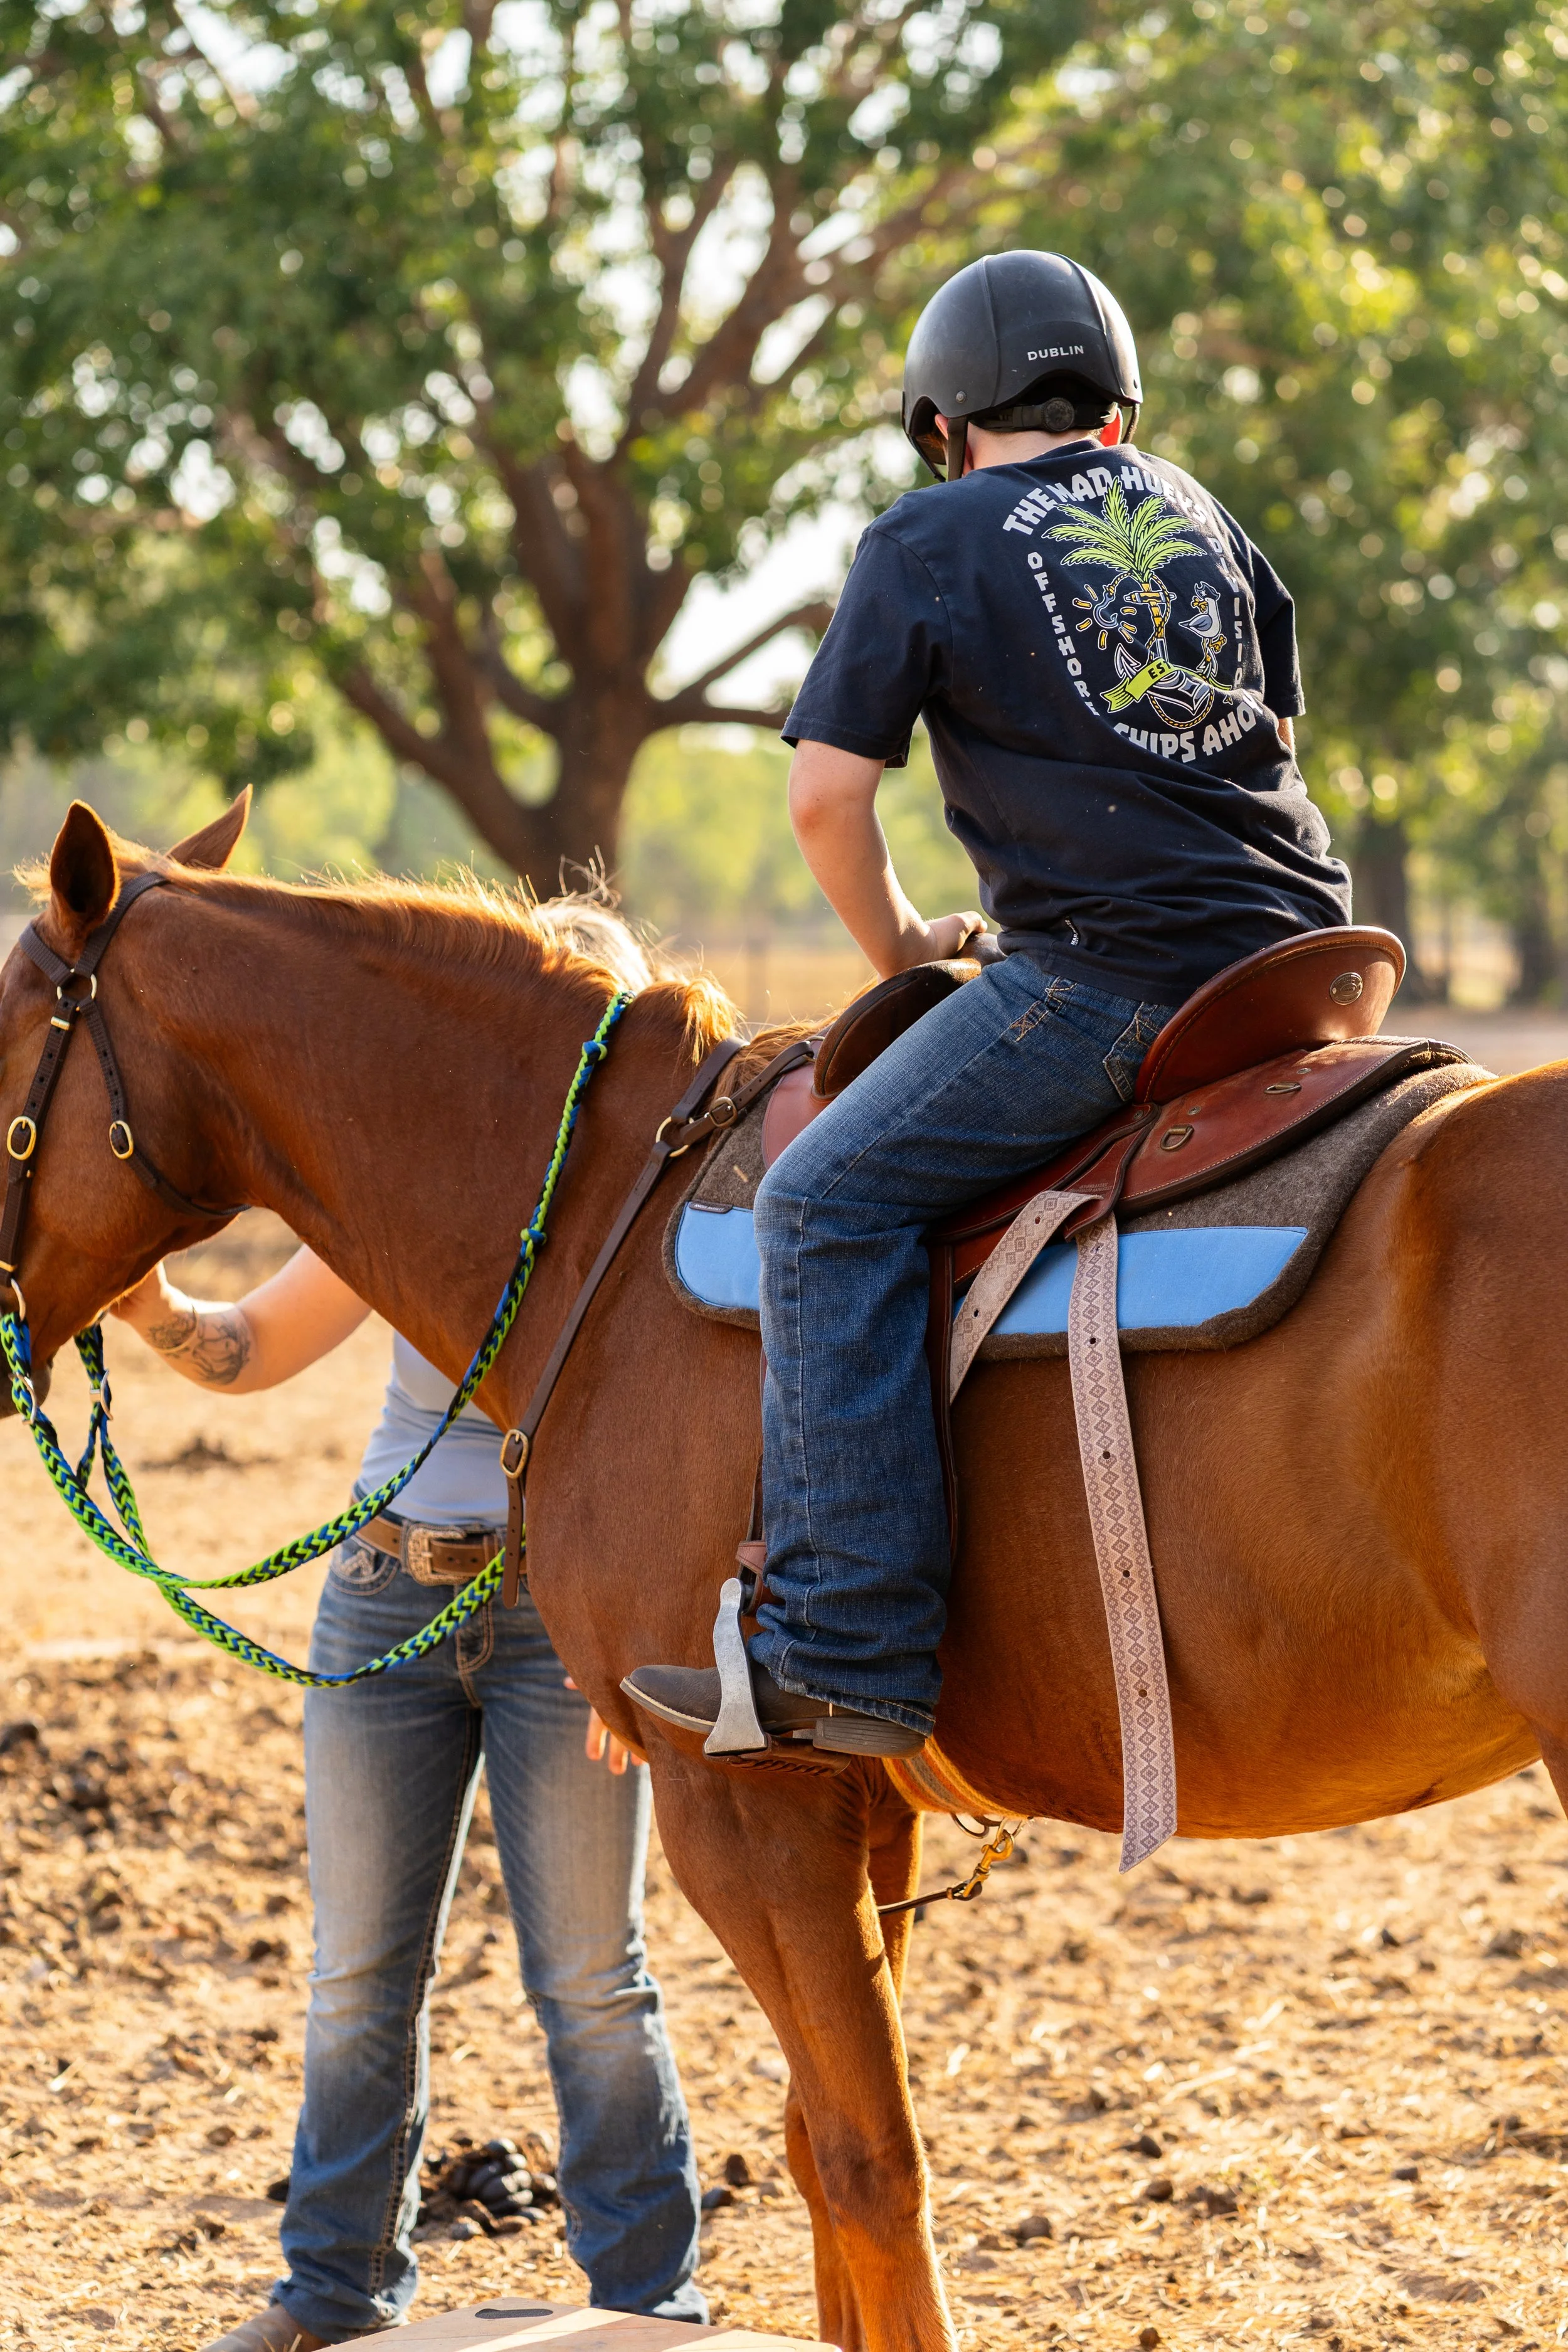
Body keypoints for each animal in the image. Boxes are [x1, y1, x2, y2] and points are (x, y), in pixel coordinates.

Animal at [4, 795, 1565, 2352]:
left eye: (7, 1036)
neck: (601, 1222)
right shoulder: (866, 1803)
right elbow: (822, 2157)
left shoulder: (743, 1800)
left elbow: (873, 2167)